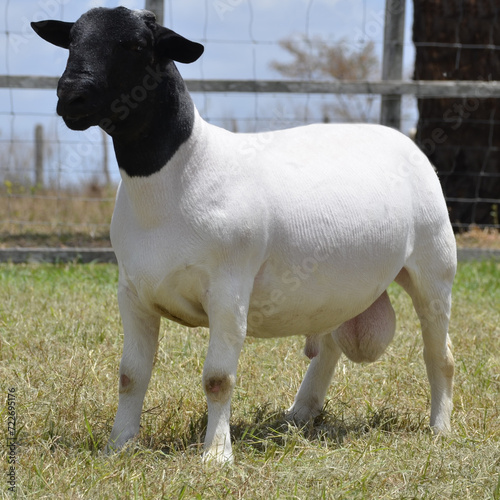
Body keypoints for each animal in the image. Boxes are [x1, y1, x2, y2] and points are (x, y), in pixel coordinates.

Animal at [32, 5, 458, 462]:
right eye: (71, 41)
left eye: (134, 45)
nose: (70, 97)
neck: (179, 177)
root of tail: (401, 138)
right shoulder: (132, 291)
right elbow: (130, 375)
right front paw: (118, 446)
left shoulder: (228, 289)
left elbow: (218, 378)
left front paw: (216, 455)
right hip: (336, 290)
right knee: (329, 345)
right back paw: (298, 415)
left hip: (434, 266)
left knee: (440, 355)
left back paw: (441, 428)